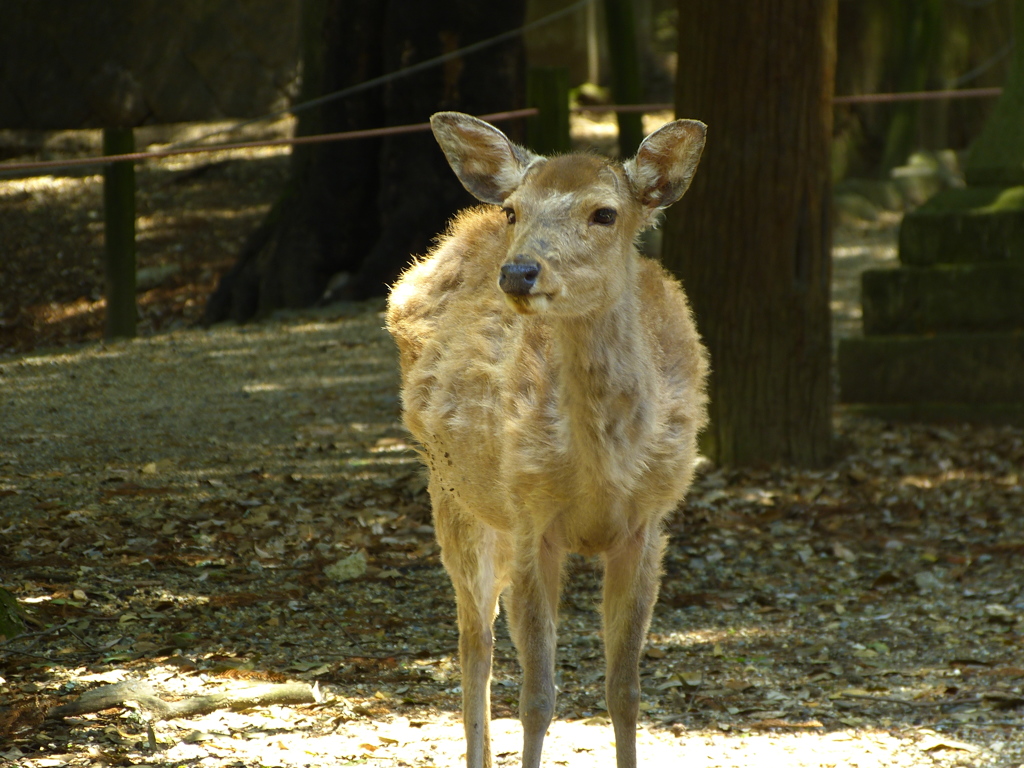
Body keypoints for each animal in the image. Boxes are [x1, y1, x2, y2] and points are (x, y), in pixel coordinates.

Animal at [385, 109, 712, 768]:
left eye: (605, 213)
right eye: (517, 210)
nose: (518, 271)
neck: (603, 472)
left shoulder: (647, 526)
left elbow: (625, 691)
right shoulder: (529, 517)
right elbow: (537, 694)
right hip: (453, 493)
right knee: (474, 641)